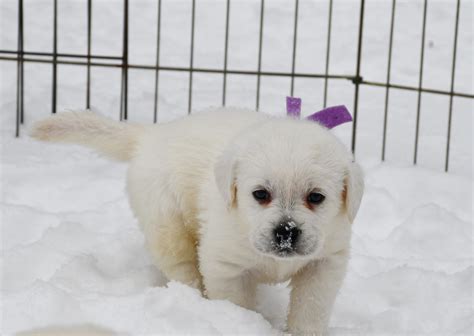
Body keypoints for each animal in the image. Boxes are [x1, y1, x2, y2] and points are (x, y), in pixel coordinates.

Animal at [31, 107, 364, 334]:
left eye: (316, 197)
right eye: (260, 194)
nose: (286, 232)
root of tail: (150, 135)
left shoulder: (325, 263)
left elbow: (311, 308)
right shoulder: (225, 267)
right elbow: (236, 304)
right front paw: (240, 324)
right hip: (167, 226)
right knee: (183, 268)